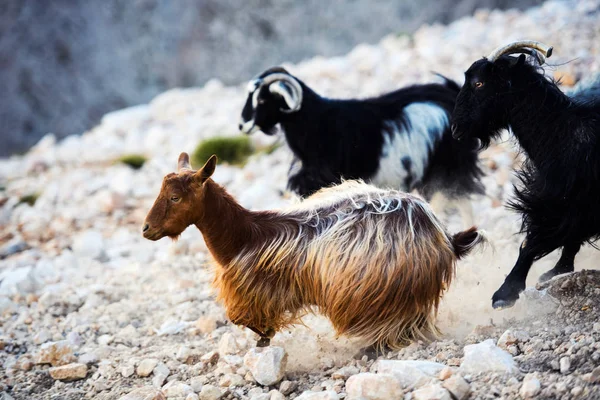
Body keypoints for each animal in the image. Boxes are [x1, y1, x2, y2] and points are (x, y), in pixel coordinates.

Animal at [145, 153, 488, 350]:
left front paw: (266, 335)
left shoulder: (263, 289)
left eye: (175, 197)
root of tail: (442, 234)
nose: (147, 229)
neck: (245, 236)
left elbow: (242, 317)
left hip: (396, 289)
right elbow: (240, 318)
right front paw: (265, 336)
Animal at [238, 67, 482, 227]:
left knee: (455, 198)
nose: (243, 125)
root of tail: (451, 94)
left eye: (262, 100)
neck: (316, 124)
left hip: (449, 165)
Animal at [450, 40, 600, 308]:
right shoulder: (569, 202)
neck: (563, 133)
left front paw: (504, 294)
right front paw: (556, 271)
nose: (455, 129)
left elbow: (530, 243)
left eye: (479, 83)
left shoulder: (561, 201)